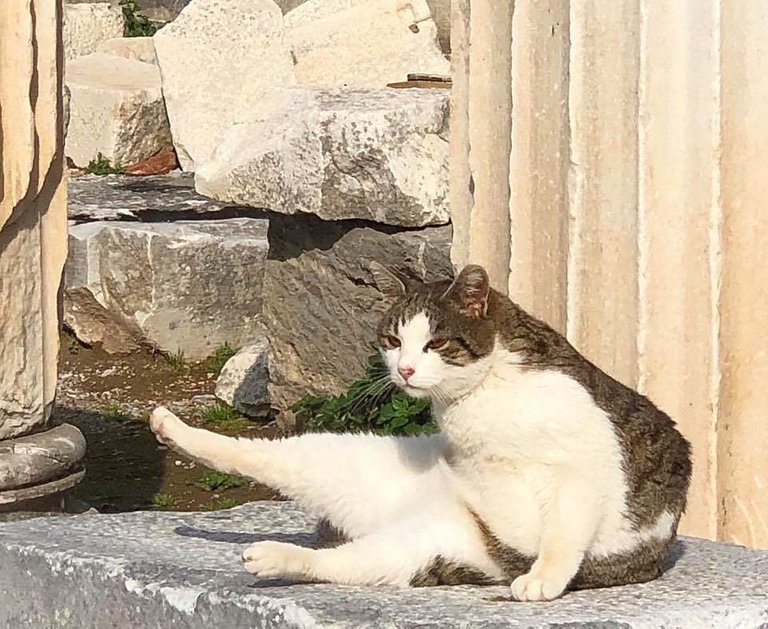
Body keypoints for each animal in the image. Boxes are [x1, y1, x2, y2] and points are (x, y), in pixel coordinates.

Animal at [148, 262, 688, 600]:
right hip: (348, 464)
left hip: (418, 549)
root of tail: (385, 519)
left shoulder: (581, 472)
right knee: (268, 462)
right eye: (392, 340)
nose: (405, 370)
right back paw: (173, 429)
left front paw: (543, 579)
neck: (479, 400)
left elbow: (563, 533)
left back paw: (274, 555)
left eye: (435, 343)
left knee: (341, 561)